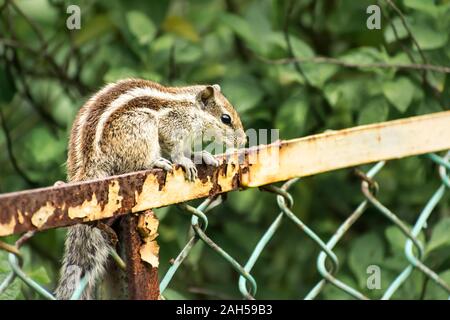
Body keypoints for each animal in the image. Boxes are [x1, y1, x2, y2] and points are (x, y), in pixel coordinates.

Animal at [55, 79, 250, 298]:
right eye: (226, 119)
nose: (244, 140)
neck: (190, 109)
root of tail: (89, 166)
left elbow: (186, 151)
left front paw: (201, 156)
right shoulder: (171, 127)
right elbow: (175, 150)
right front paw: (185, 161)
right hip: (141, 128)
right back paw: (156, 163)